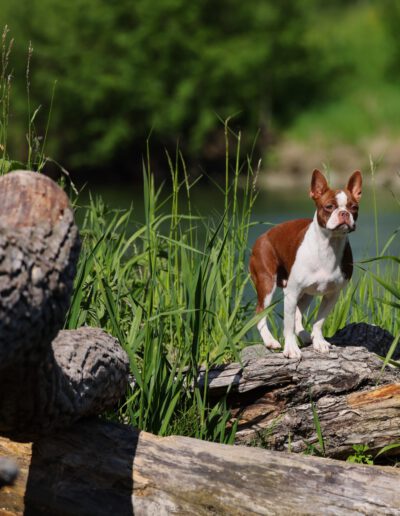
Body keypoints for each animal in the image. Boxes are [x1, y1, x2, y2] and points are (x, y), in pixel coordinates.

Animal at [250, 169, 362, 358]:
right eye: (329, 206)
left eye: (354, 208)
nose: (344, 213)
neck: (329, 245)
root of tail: (262, 236)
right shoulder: (291, 292)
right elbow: (287, 325)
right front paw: (290, 348)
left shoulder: (332, 295)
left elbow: (319, 321)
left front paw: (319, 341)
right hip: (266, 282)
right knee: (260, 312)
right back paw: (270, 341)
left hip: (307, 293)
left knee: (297, 314)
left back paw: (305, 335)